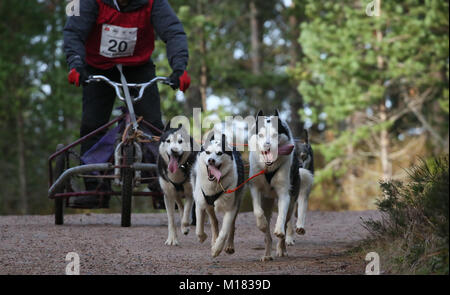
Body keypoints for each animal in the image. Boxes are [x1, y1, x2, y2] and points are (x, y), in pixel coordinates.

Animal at [248, 110, 300, 262]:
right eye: (260, 135)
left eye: (275, 134)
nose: (267, 146)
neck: (269, 168)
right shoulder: (255, 188)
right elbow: (257, 211)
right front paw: (262, 224)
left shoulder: (284, 192)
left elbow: (281, 215)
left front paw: (279, 229)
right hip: (267, 202)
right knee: (267, 235)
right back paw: (267, 254)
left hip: (292, 200)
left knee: (286, 220)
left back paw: (281, 249)